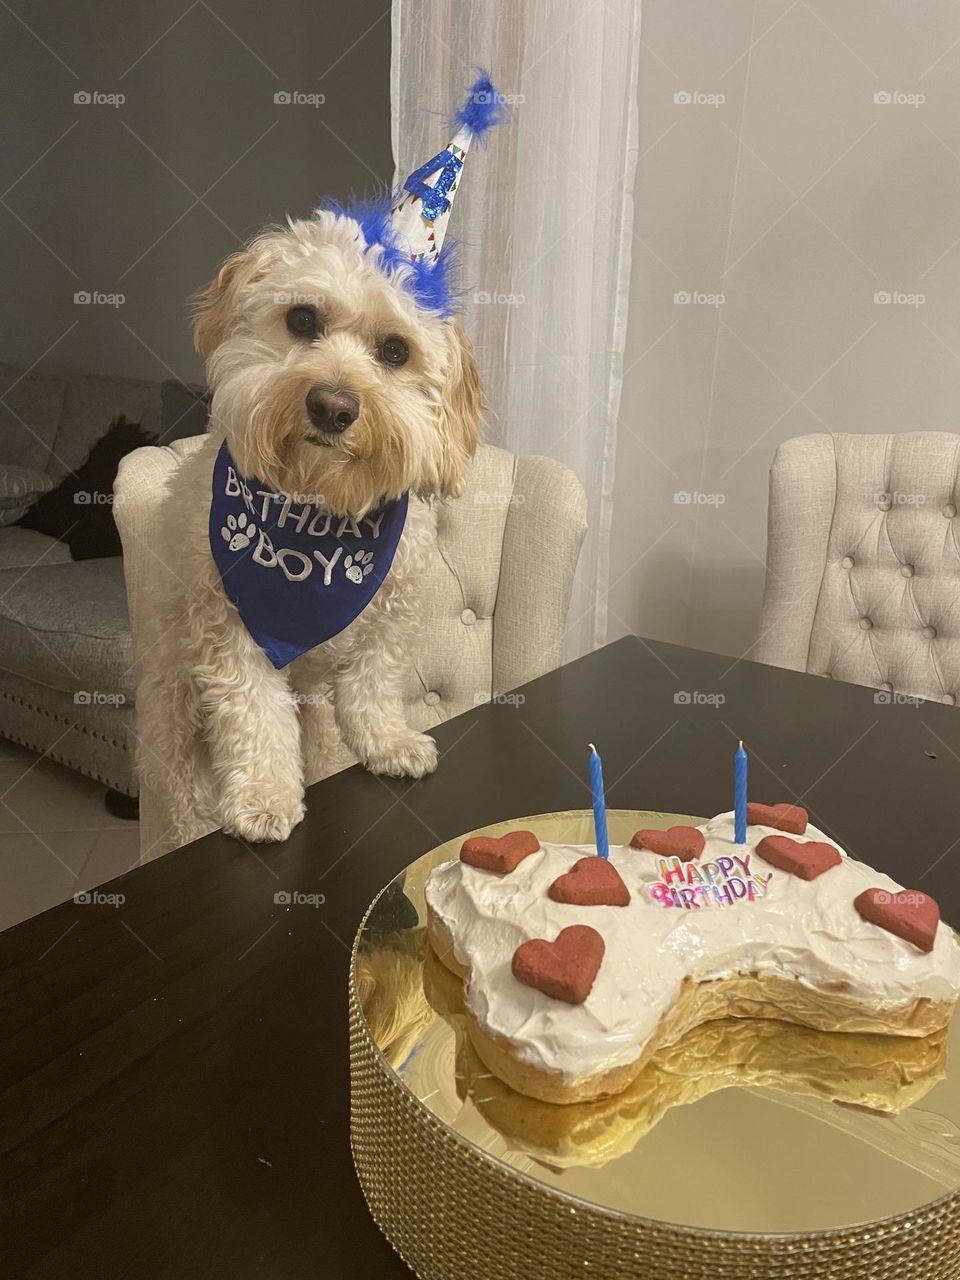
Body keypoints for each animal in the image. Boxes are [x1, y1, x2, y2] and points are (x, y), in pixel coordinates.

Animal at [138, 212, 483, 839]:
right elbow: (253, 713)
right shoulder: (229, 626)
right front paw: (263, 796)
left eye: (395, 351)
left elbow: (374, 685)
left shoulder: (390, 611)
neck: (318, 506)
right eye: (302, 319)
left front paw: (386, 742)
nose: (332, 407)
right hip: (172, 722)